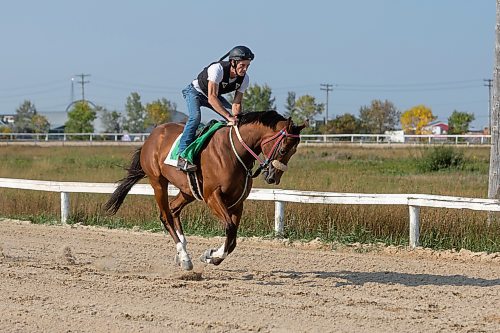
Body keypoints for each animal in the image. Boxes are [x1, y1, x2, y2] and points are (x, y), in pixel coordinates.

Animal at [104, 111, 304, 270]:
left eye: (294, 151)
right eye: (283, 149)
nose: (273, 177)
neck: (234, 152)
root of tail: (152, 136)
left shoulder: (237, 202)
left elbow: (233, 239)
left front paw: (211, 255)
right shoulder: (212, 196)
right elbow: (230, 228)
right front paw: (212, 255)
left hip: (188, 190)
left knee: (174, 209)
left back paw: (182, 253)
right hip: (158, 182)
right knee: (166, 215)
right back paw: (184, 257)